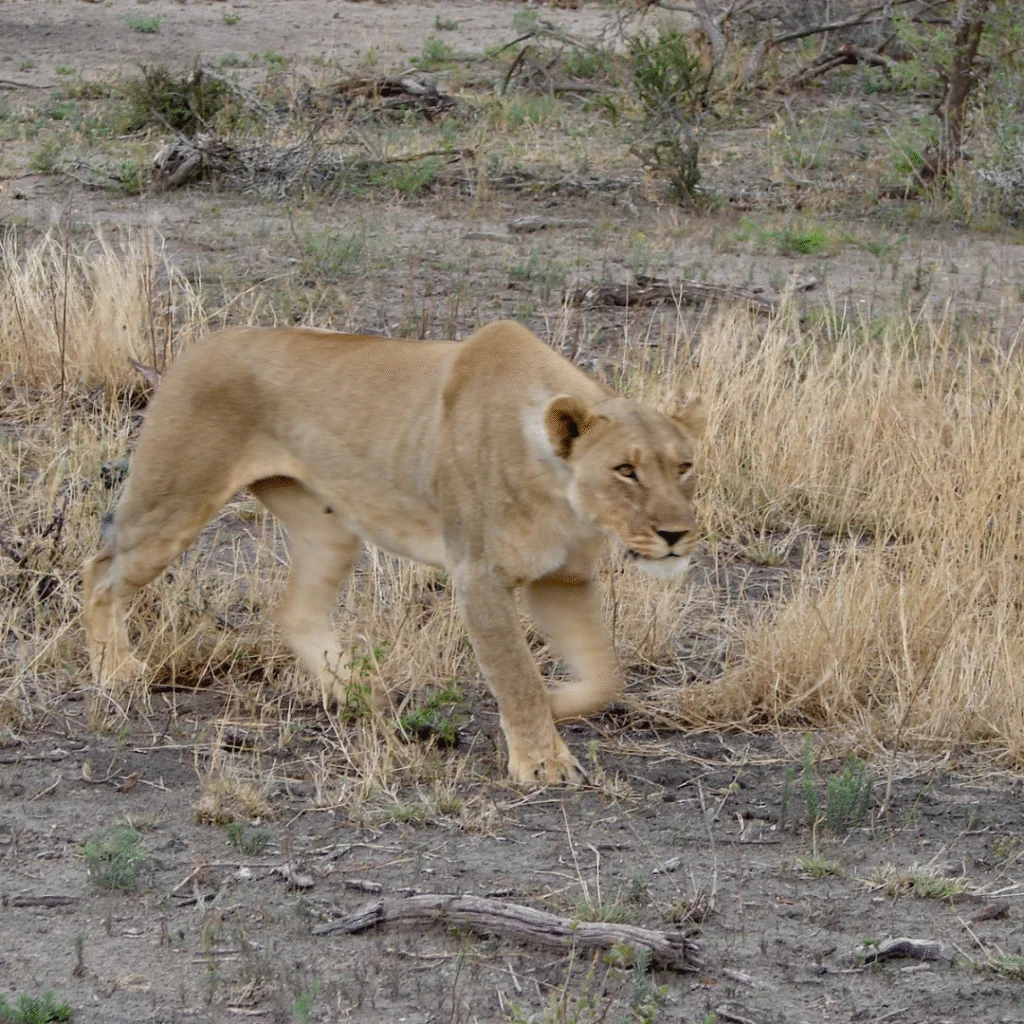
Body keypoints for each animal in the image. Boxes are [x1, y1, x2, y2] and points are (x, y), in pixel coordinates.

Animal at [82, 319, 706, 785]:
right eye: (625, 471)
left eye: (684, 467)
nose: (677, 535)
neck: (565, 495)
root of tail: (197, 346)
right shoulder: (479, 575)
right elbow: (517, 672)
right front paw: (542, 762)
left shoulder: (563, 580)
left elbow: (604, 678)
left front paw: (555, 706)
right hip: (174, 499)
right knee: (99, 570)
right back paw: (117, 672)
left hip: (328, 530)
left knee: (294, 613)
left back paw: (362, 694)